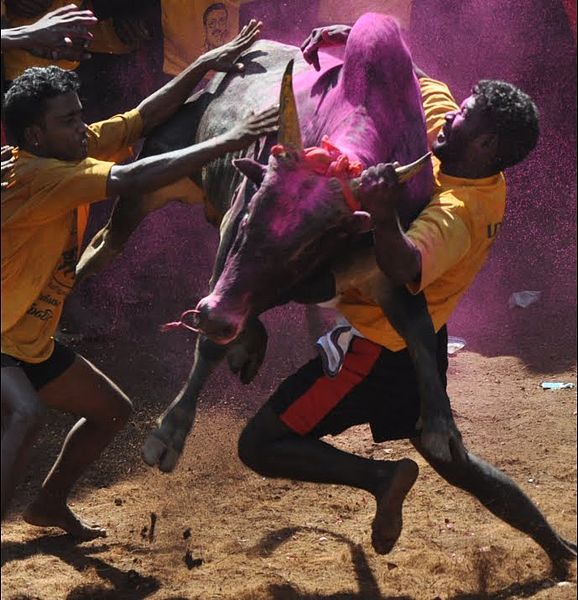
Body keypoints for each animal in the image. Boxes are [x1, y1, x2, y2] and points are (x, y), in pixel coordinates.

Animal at [75, 14, 454, 472]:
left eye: (308, 246)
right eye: (250, 216)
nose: (215, 315)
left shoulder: (389, 266)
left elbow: (419, 332)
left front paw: (441, 427)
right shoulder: (229, 236)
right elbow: (210, 340)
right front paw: (169, 434)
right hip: (151, 182)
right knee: (105, 244)